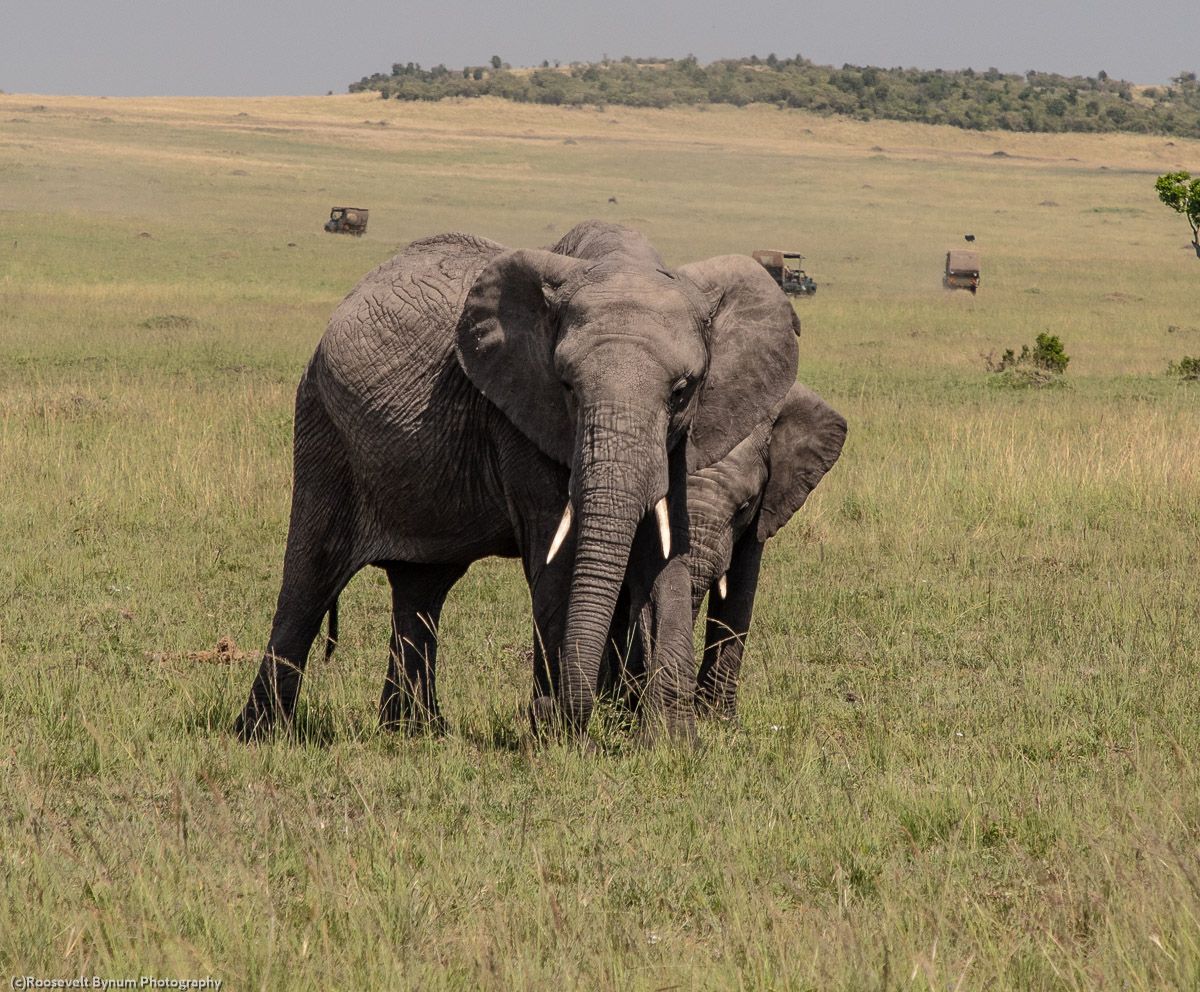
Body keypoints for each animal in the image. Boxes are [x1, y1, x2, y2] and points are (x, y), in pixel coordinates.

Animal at [233, 221, 800, 745]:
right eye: (566, 387)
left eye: (683, 391)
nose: (571, 715)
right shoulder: (519, 418)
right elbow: (559, 556)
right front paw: (559, 741)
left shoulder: (682, 440)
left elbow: (665, 556)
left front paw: (675, 745)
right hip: (323, 426)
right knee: (311, 577)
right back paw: (262, 734)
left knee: (422, 589)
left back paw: (415, 733)